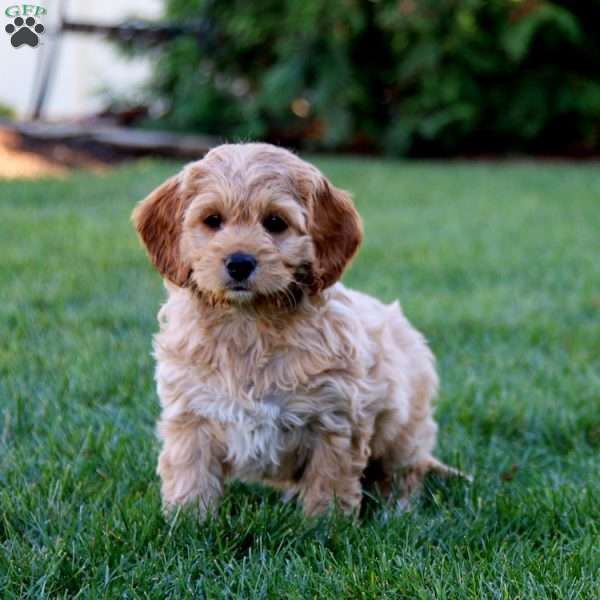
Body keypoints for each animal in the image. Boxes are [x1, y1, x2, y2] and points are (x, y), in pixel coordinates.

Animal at [131, 143, 462, 516]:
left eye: (275, 223)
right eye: (212, 220)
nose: (240, 263)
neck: (248, 323)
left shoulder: (334, 420)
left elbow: (328, 482)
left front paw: (324, 524)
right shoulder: (190, 414)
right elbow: (191, 473)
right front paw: (188, 521)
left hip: (404, 429)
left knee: (406, 469)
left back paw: (398, 507)